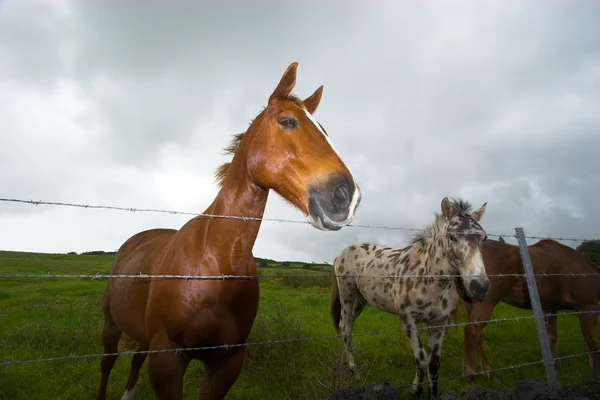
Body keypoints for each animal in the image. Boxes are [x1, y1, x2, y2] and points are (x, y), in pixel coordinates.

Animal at [96, 62, 364, 400]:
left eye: (325, 131)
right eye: (288, 121)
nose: (347, 196)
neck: (214, 263)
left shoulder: (228, 362)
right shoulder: (167, 360)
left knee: (135, 359)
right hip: (110, 326)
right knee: (108, 363)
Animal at [330, 196, 490, 396]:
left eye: (484, 238)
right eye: (452, 237)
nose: (480, 287)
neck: (429, 279)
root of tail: (341, 254)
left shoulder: (439, 323)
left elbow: (433, 365)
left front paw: (428, 392)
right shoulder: (407, 319)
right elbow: (421, 358)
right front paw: (416, 389)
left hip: (361, 301)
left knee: (346, 325)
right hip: (348, 297)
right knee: (346, 329)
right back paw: (354, 370)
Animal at [460, 238, 600, 382]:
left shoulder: (550, 308)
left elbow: (551, 338)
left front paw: (551, 366)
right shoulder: (588, 307)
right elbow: (592, 342)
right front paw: (595, 372)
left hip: (470, 303)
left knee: (476, 333)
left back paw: (486, 370)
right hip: (486, 301)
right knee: (471, 329)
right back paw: (470, 373)